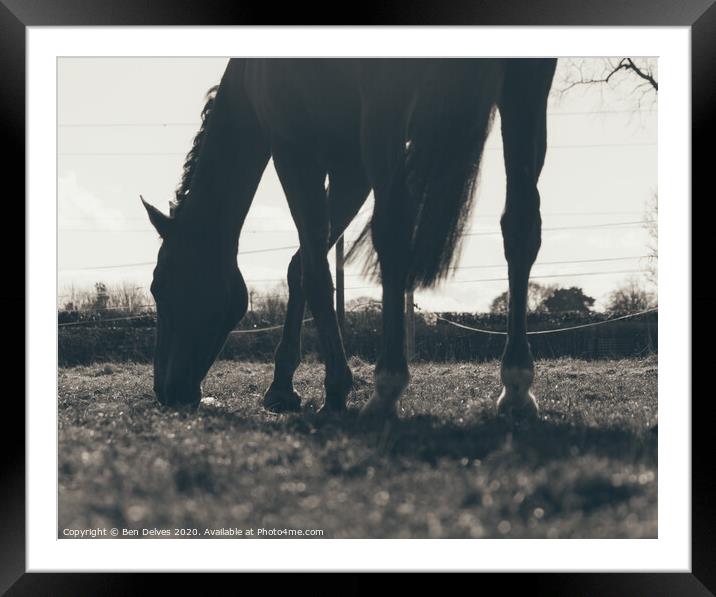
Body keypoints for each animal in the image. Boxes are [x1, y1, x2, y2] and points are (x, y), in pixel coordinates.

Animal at [141, 57, 560, 420]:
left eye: (160, 287)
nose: (166, 391)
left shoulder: (294, 150)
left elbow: (315, 271)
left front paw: (335, 390)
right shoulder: (351, 169)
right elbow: (299, 266)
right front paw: (282, 386)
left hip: (387, 102)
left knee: (393, 232)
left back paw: (387, 388)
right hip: (525, 91)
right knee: (521, 225)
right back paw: (516, 386)